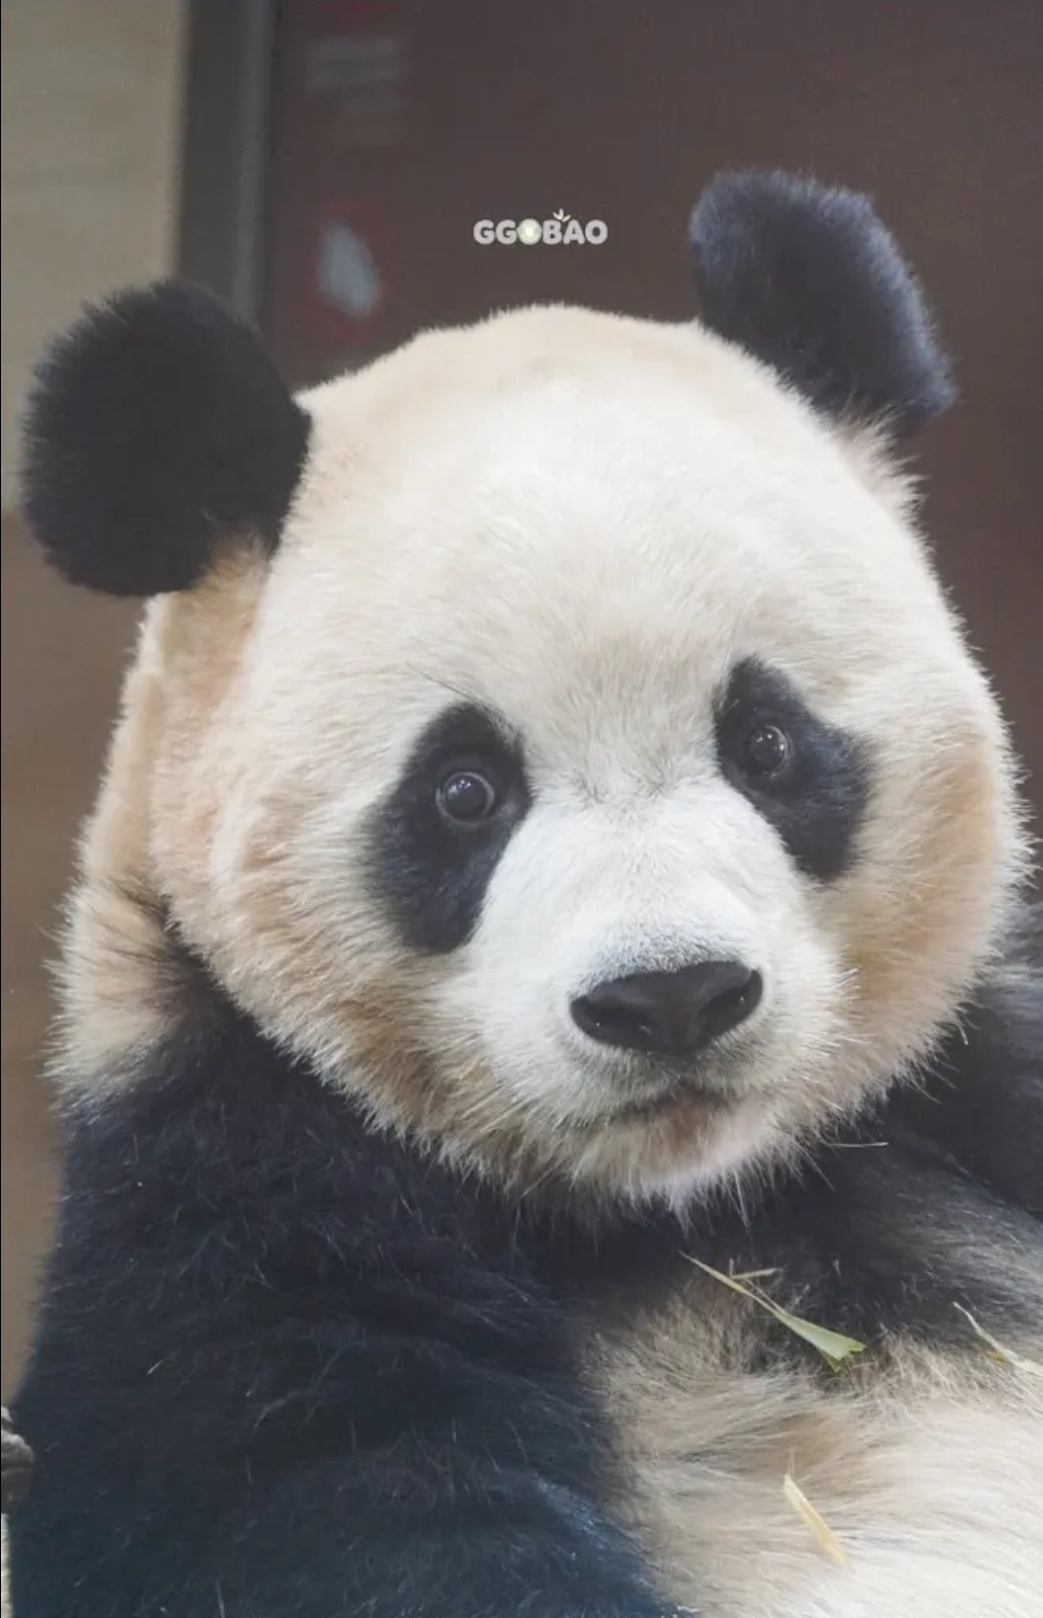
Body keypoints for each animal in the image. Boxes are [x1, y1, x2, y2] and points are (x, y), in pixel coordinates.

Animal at [5, 170, 1042, 1618]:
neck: (687, 1207)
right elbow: (335, 1492)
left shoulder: (972, 1075)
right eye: (463, 791)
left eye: (766, 742)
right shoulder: (231, 1182)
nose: (670, 997)